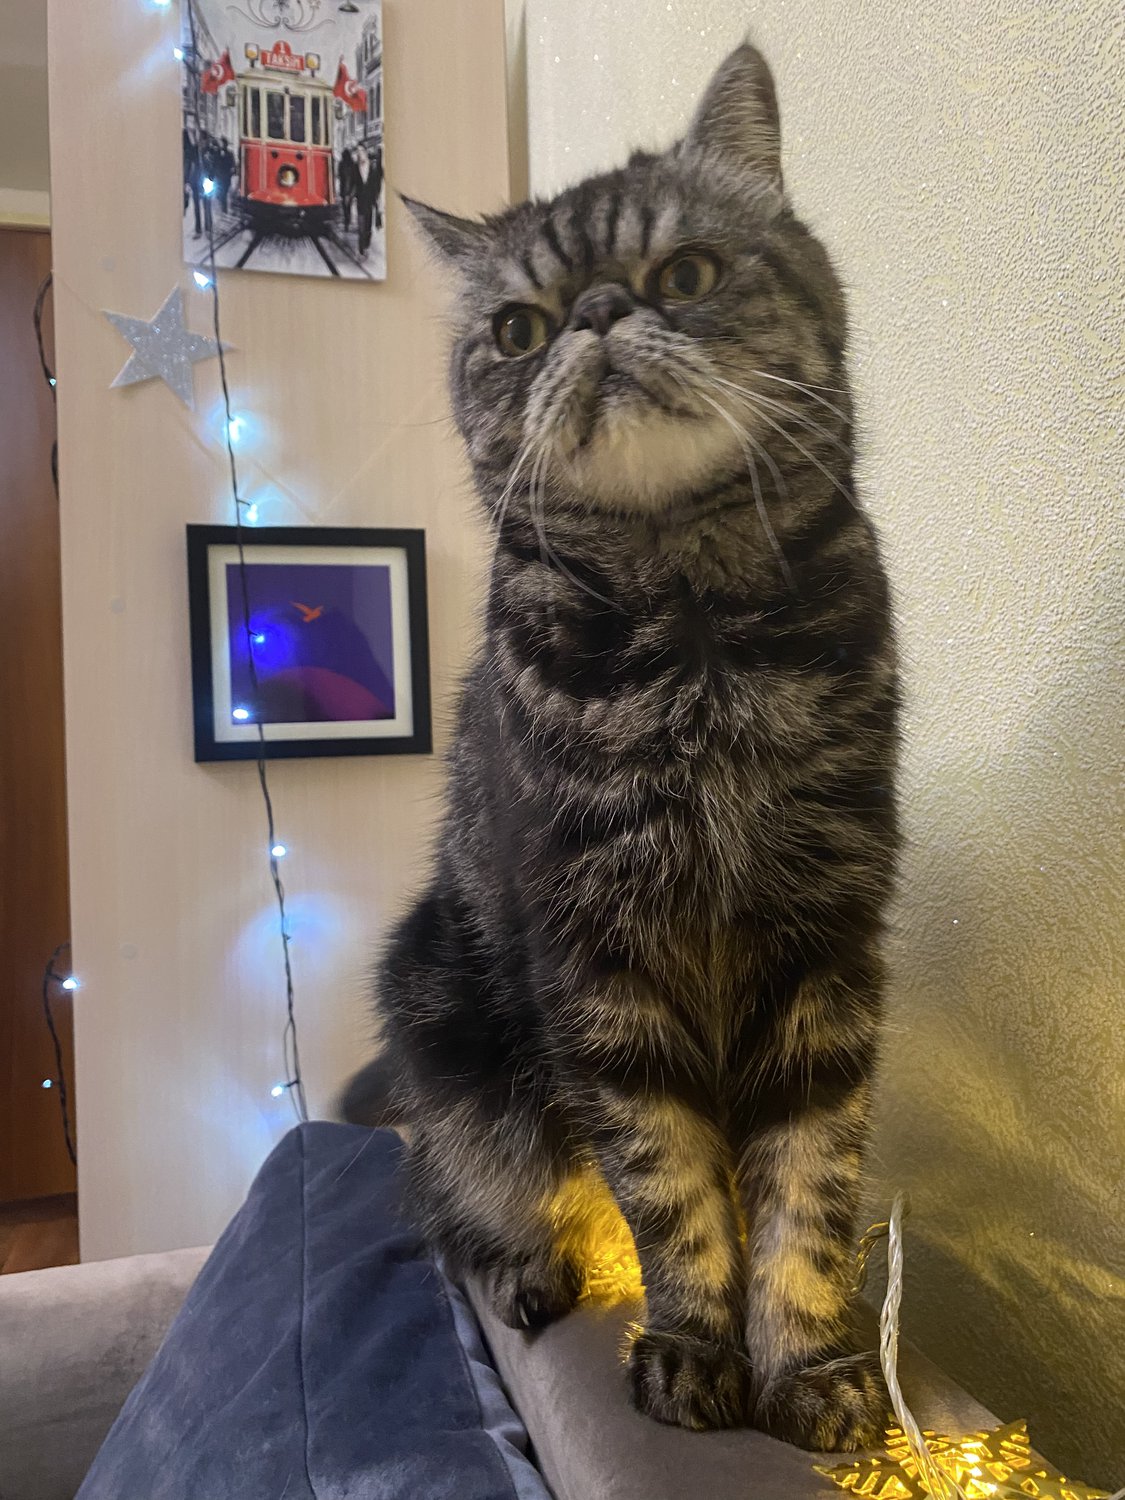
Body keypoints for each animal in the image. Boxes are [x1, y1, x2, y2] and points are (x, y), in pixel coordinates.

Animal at [344, 41, 899, 1449]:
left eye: (685, 275)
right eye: (516, 330)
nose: (594, 314)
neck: (695, 636)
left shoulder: (828, 945)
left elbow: (808, 1191)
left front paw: (813, 1368)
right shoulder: (597, 961)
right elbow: (666, 1183)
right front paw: (694, 1346)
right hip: (442, 1018)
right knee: (460, 1199)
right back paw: (531, 1269)